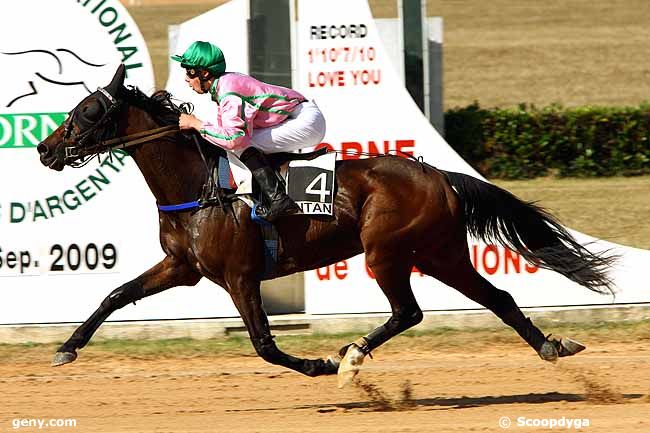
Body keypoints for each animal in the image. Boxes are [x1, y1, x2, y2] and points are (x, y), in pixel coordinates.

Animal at [38, 64, 616, 382]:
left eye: (88, 111)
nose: (45, 149)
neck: (198, 189)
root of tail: (437, 174)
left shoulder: (239, 276)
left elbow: (265, 345)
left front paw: (319, 365)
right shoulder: (182, 266)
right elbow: (115, 295)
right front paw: (67, 347)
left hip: (386, 251)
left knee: (409, 312)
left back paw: (350, 355)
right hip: (439, 253)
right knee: (498, 297)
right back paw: (550, 345)